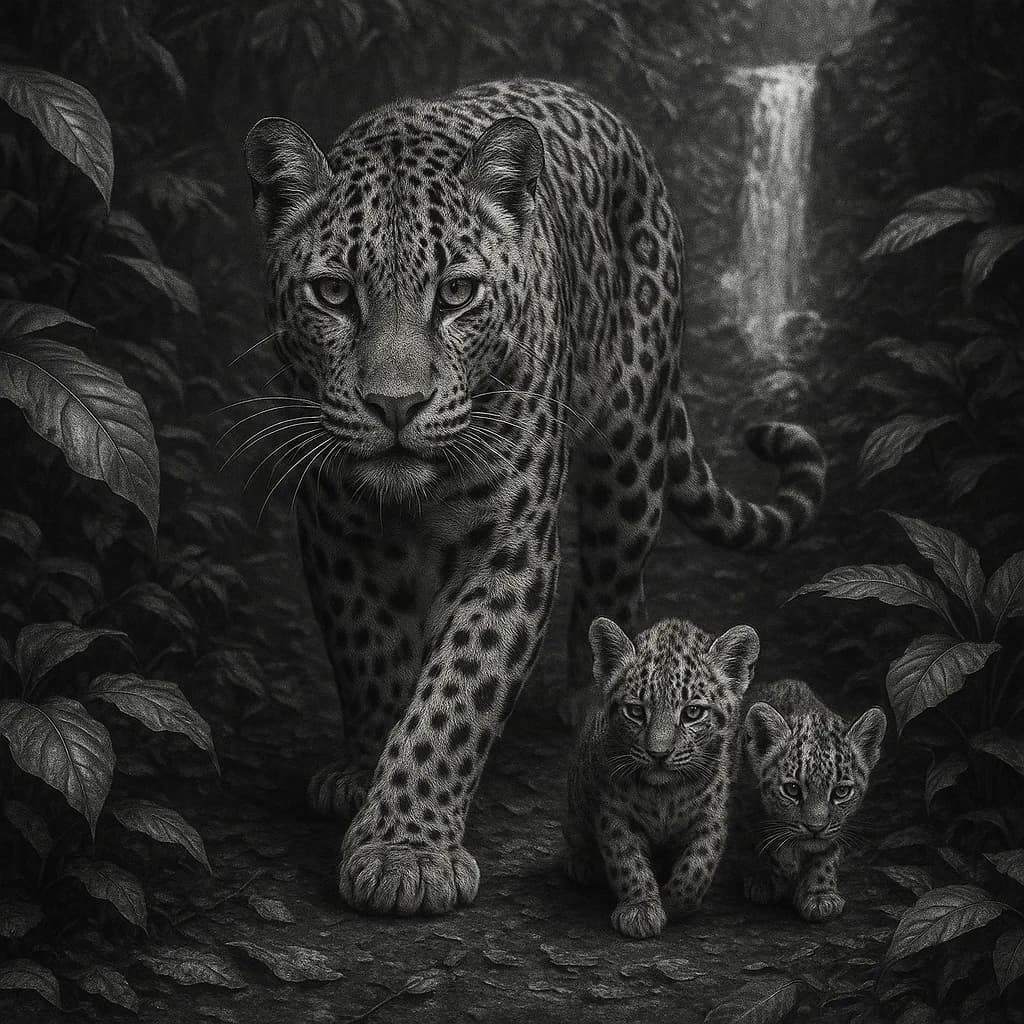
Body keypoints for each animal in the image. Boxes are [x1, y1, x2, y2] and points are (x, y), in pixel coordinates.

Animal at [564, 615, 759, 939]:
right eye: (635, 711)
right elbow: (626, 860)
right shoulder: (614, 813)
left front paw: (675, 903)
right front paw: (641, 909)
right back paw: (582, 864)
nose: (658, 753)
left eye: (693, 712)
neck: (664, 795)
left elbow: (699, 865)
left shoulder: (711, 817)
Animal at [740, 679, 887, 922]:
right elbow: (766, 843)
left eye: (841, 792)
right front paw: (771, 877)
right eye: (792, 789)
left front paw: (819, 895)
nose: (815, 828)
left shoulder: (835, 829)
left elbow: (825, 855)